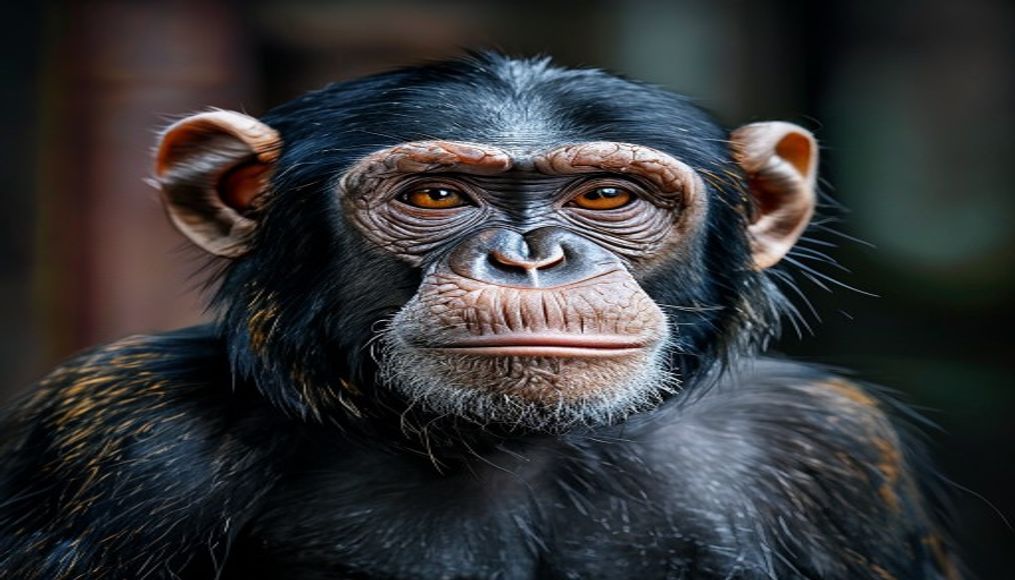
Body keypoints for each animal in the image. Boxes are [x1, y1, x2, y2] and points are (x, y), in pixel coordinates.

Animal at [0, 53, 961, 579]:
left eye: (605, 195)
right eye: (435, 195)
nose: (528, 256)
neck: (509, 447)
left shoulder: (831, 449)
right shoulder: (123, 439)